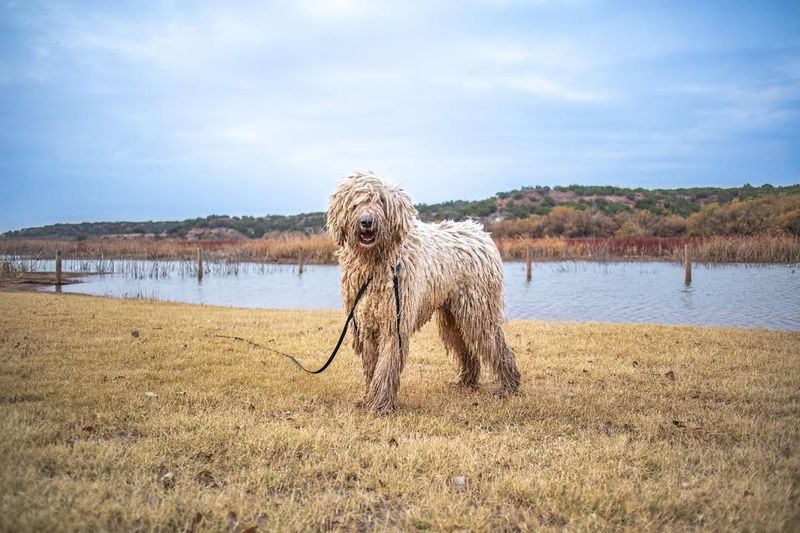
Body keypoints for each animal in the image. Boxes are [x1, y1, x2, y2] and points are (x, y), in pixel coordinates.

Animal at [328, 170, 520, 412]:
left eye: (381, 201)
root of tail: (481, 233)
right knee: (465, 347)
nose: (367, 222)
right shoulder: (366, 323)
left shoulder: (394, 321)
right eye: (356, 203)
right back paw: (467, 381)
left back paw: (509, 386)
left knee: (496, 345)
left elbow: (386, 364)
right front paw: (368, 398)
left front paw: (380, 403)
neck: (375, 262)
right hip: (452, 314)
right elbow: (372, 365)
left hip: (479, 308)